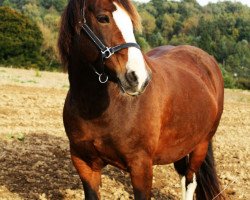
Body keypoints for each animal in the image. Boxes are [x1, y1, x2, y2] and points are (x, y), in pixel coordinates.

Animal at [58, 0, 225, 199]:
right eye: (102, 18)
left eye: (130, 22)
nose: (139, 78)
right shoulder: (84, 163)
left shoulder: (141, 166)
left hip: (201, 144)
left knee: (190, 181)